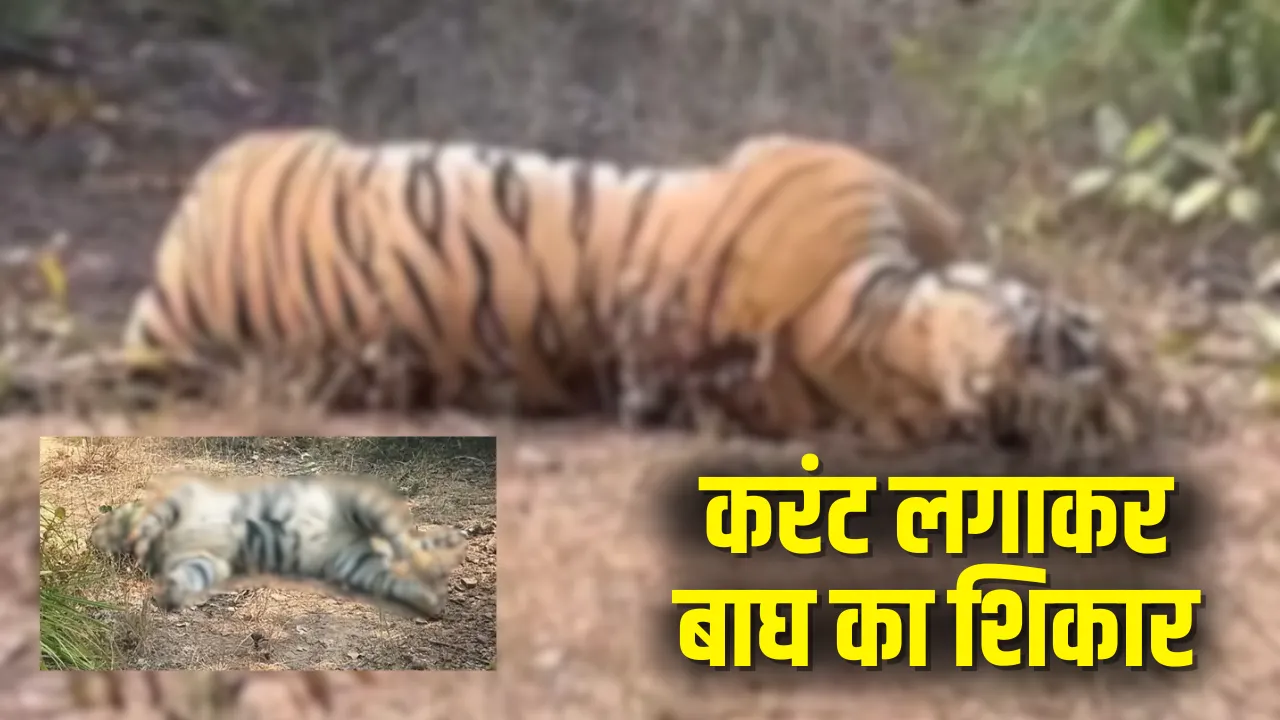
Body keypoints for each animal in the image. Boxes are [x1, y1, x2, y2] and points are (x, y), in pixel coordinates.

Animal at [91, 471, 468, 620]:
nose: (90, 537)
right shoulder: (205, 558)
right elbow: (193, 573)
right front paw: (171, 592)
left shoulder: (183, 496)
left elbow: (155, 517)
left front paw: (141, 537)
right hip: (358, 566)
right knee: (399, 575)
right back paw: (432, 602)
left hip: (360, 504)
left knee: (406, 541)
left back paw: (435, 561)